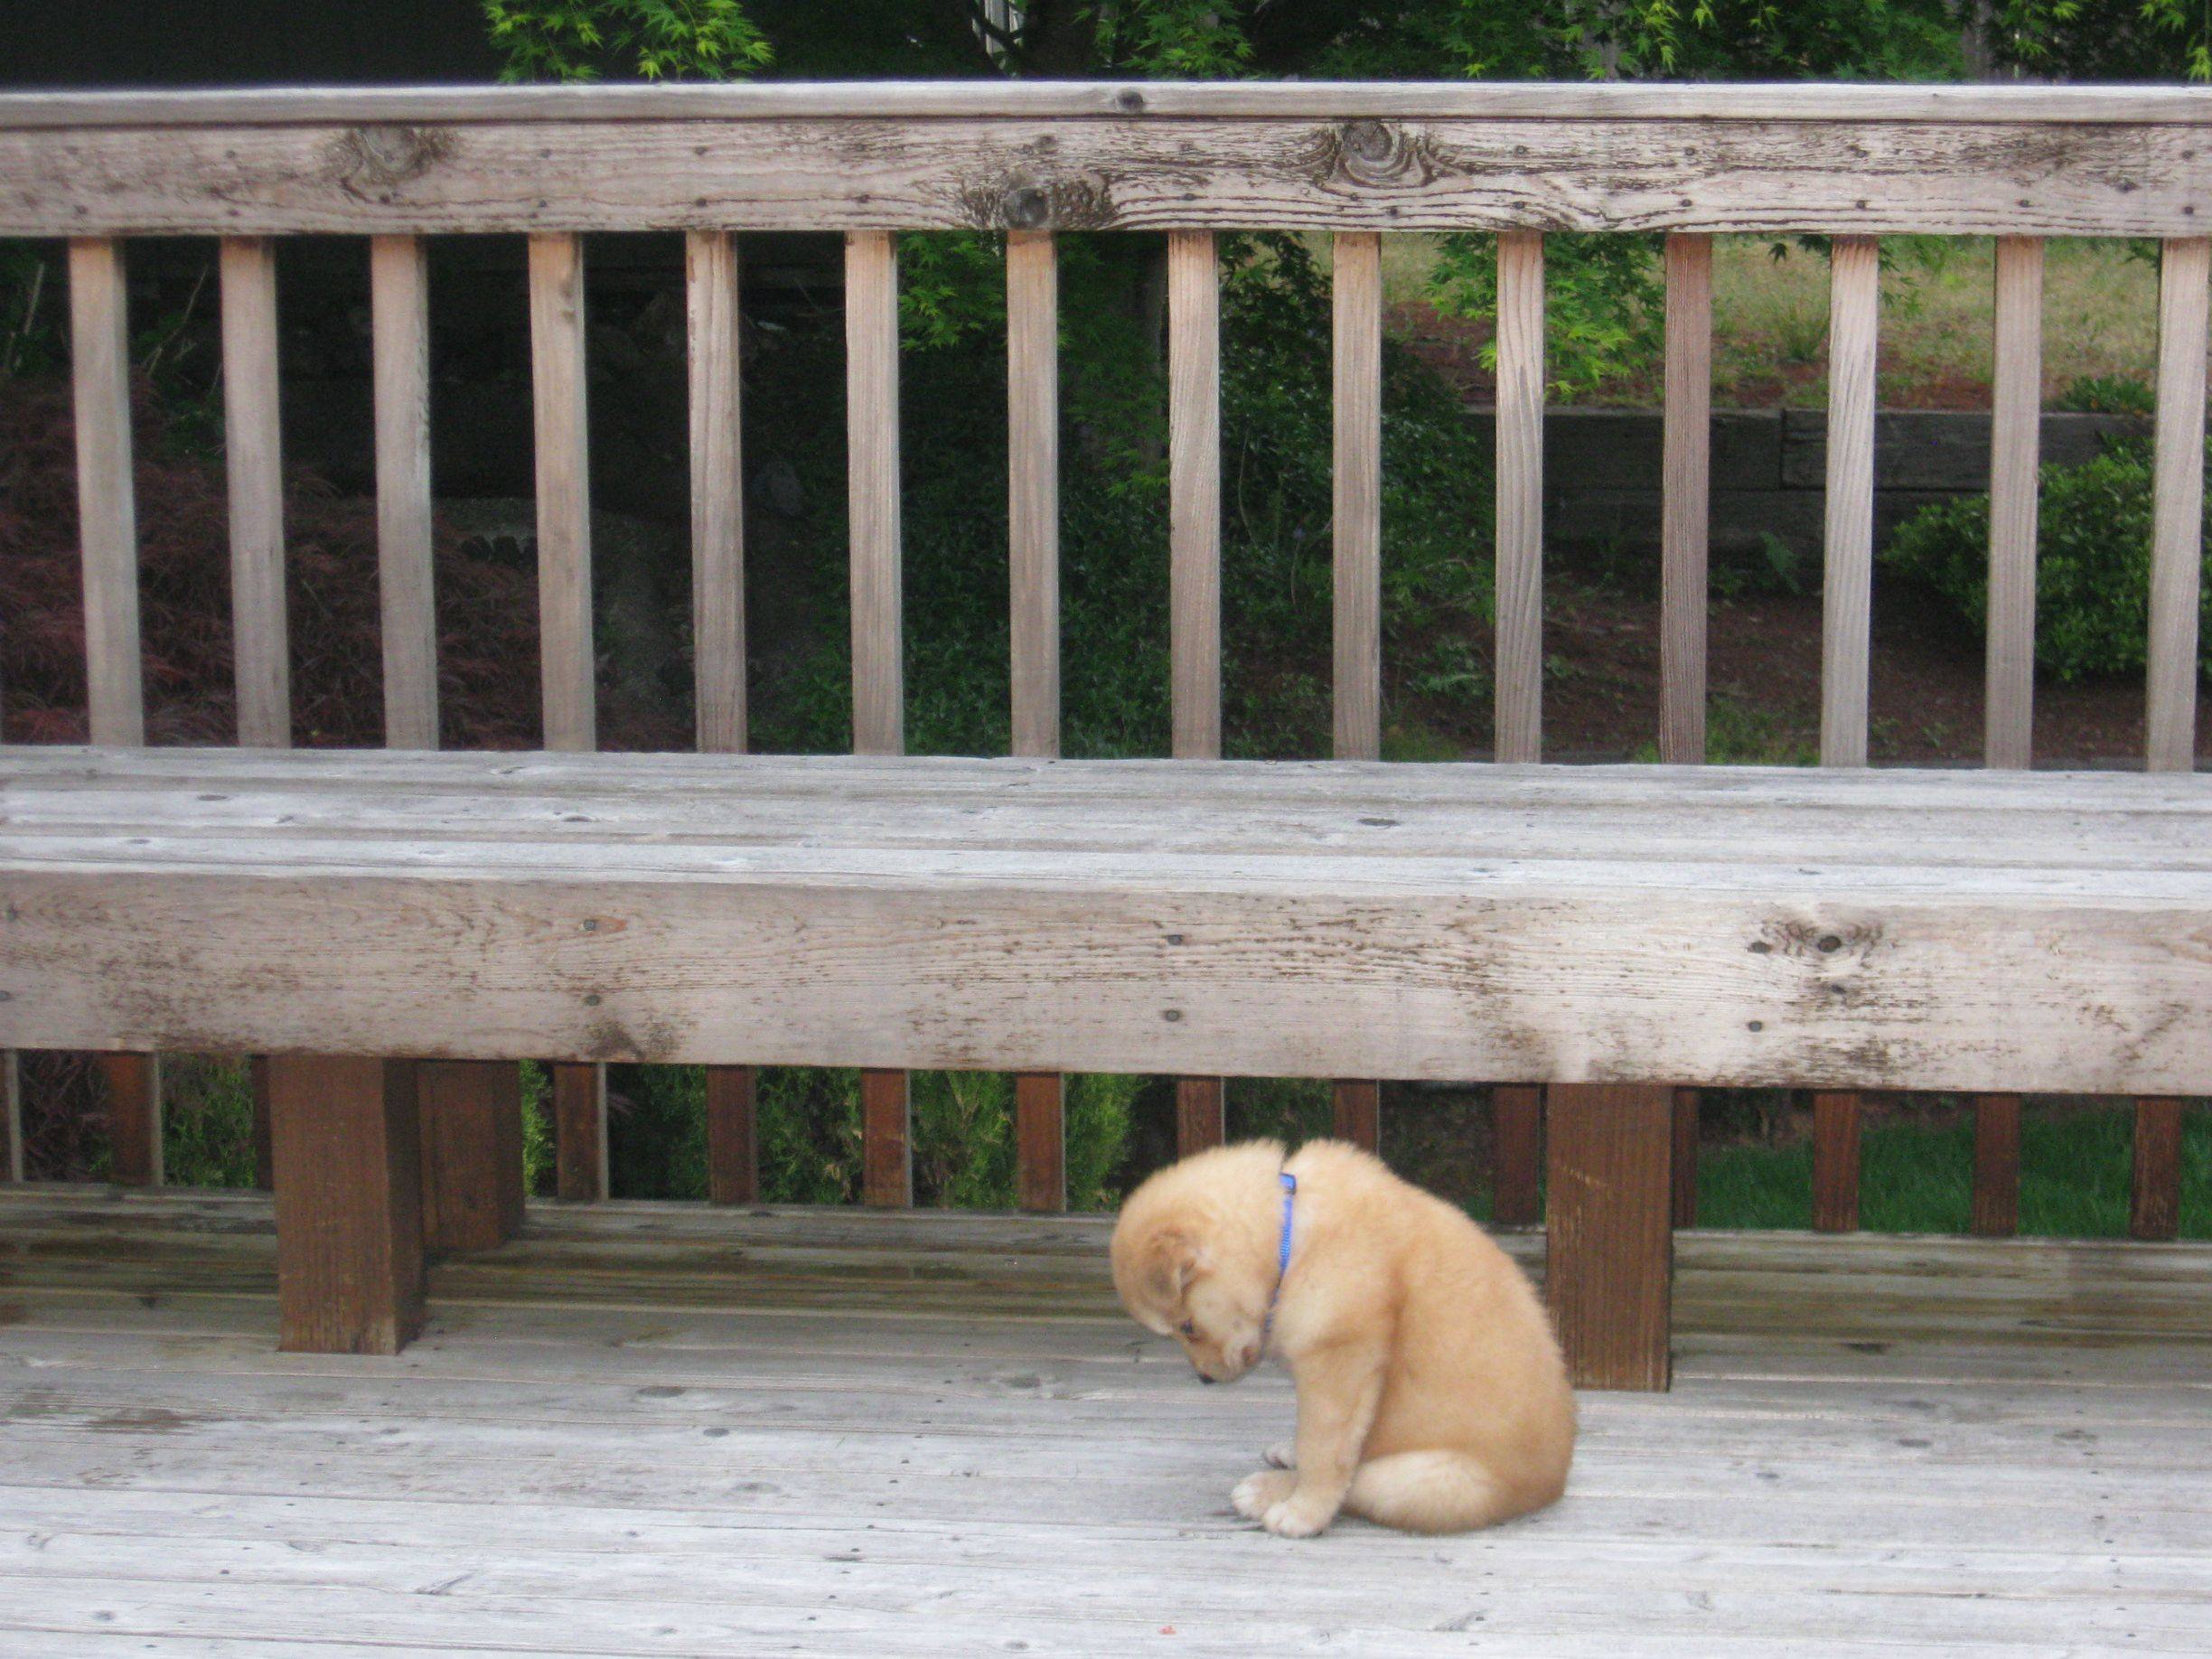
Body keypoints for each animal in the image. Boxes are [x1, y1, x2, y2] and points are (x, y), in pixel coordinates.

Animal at [1106, 1141, 1574, 1539]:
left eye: (1186, 1327)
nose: (1204, 1378)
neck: (1290, 1241)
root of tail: (1552, 1485)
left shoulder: (1340, 1362)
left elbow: (1323, 1451)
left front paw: (1302, 1514)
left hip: (1423, 1479)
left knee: (1358, 1483)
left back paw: (1266, 1491)